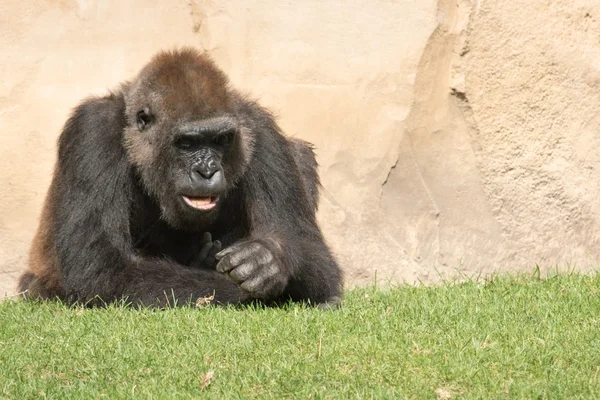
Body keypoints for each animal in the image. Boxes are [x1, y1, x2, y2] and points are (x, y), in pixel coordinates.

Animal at [17, 48, 342, 308]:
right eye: (187, 143)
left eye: (221, 140)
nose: (207, 171)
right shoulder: (92, 131)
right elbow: (103, 271)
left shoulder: (260, 129)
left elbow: (313, 250)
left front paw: (272, 259)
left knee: (300, 152)